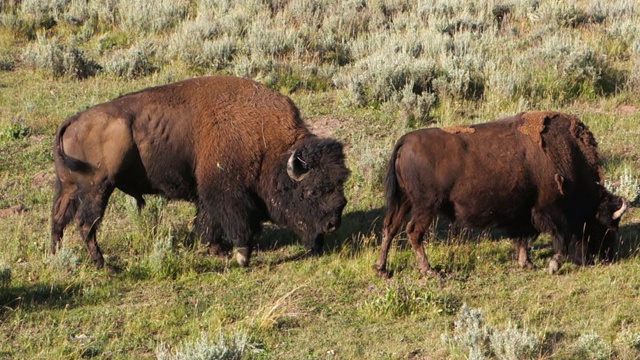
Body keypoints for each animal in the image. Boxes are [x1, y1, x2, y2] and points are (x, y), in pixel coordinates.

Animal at [50, 75, 350, 268]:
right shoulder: (226, 192)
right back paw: (104, 265)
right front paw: (242, 255)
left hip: (68, 187)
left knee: (58, 218)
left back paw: (55, 256)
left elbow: (208, 221)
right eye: (310, 191)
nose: (332, 223)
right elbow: (234, 222)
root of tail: (74, 120)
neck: (267, 143)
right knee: (86, 224)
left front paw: (216, 249)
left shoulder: (207, 193)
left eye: (339, 185)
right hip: (98, 188)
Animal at [372, 111, 628, 278]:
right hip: (425, 206)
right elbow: (560, 240)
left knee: (390, 228)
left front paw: (528, 264)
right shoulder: (549, 210)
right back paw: (430, 271)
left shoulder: (526, 213)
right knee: (413, 232)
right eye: (606, 226)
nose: (605, 257)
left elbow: (524, 238)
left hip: (405, 202)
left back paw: (382, 269)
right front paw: (552, 265)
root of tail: (404, 141)